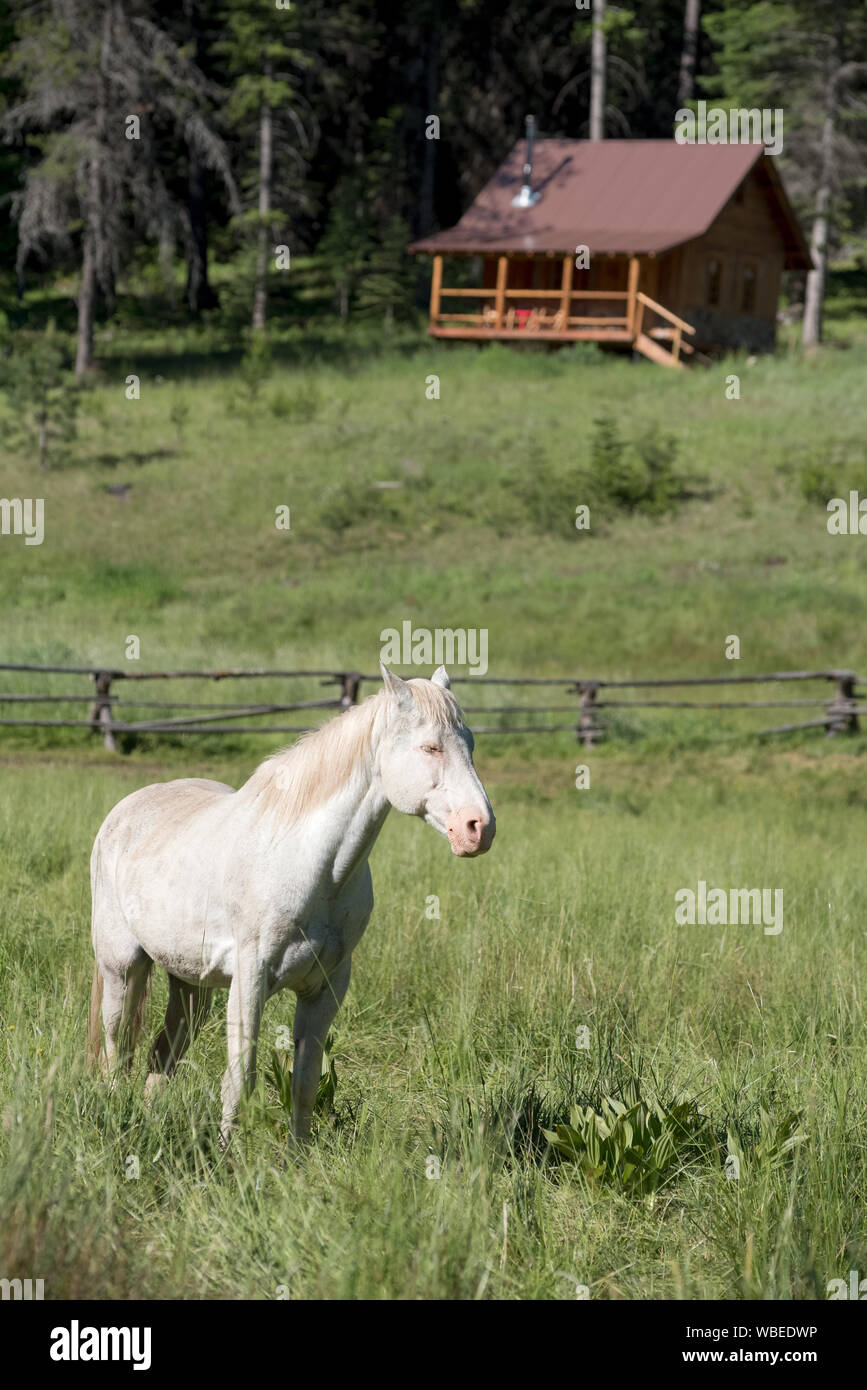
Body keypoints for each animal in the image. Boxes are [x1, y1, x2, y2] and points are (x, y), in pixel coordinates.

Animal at [88, 664, 495, 1147]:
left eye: (469, 744)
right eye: (430, 746)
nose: (479, 828)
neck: (311, 865)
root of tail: (123, 810)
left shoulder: (326, 988)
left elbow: (303, 1083)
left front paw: (298, 1157)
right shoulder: (250, 980)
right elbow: (239, 1080)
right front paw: (228, 1158)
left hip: (190, 986)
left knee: (160, 1058)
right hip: (123, 968)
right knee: (116, 1050)